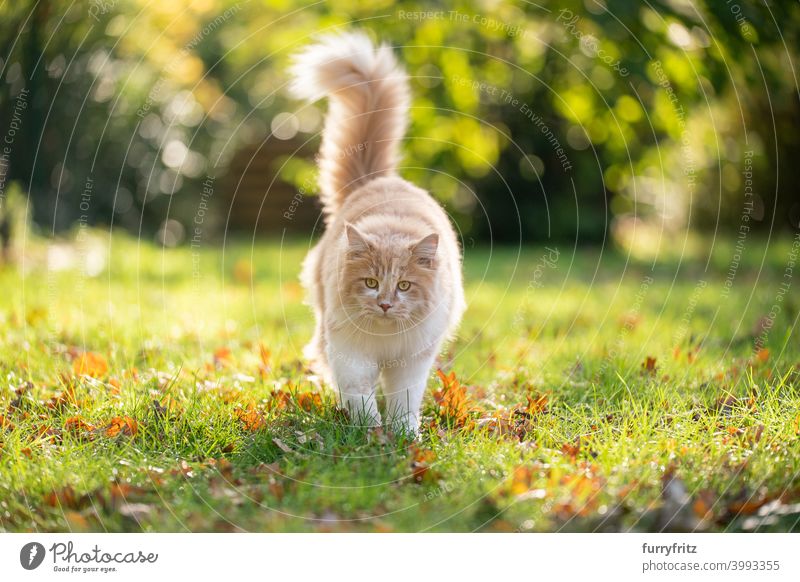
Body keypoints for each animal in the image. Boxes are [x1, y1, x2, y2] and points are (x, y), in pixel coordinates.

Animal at [290, 30, 466, 434]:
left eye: (404, 285)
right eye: (370, 283)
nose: (385, 304)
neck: (385, 337)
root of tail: (376, 180)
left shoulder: (412, 360)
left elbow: (404, 401)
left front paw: (403, 434)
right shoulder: (351, 353)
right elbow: (360, 395)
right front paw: (369, 432)